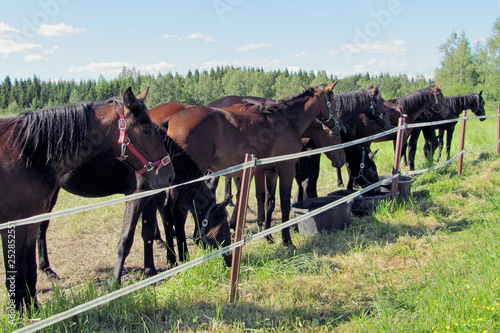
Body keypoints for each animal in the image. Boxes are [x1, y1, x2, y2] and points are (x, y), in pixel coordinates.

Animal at [0, 86, 176, 312]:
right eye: (146, 129)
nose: (169, 175)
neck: (26, 152)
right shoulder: (136, 196)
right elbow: (127, 238)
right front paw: (116, 282)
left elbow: (147, 231)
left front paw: (151, 270)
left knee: (41, 231)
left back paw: (47, 270)